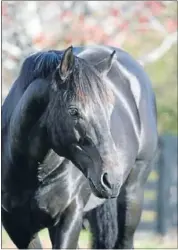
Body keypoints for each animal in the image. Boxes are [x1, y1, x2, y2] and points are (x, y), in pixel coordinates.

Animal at [1, 46, 157, 249]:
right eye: (73, 111)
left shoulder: (70, 218)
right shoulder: (17, 227)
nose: (111, 179)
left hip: (132, 194)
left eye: (110, 110)